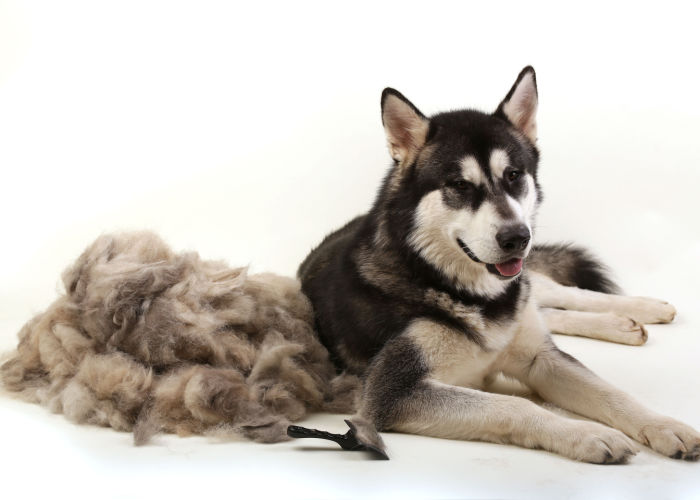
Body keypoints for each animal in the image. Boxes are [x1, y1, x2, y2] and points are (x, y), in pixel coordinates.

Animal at [300, 67, 700, 464]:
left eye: (513, 175)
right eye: (460, 185)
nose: (517, 238)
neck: (464, 291)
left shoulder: (541, 357)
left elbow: (611, 392)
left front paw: (665, 426)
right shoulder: (390, 393)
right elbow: (514, 406)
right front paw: (588, 434)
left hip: (530, 287)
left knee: (564, 293)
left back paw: (643, 309)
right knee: (550, 309)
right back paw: (621, 324)